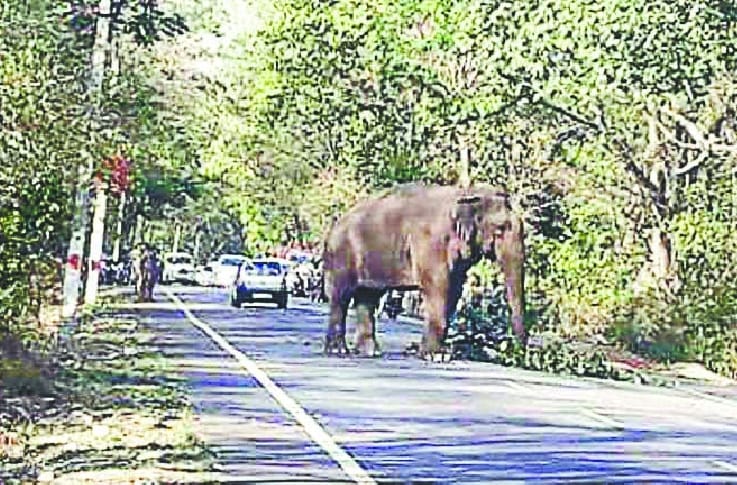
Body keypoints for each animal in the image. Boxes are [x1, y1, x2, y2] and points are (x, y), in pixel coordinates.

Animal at [322, 183, 527, 359]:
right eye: (500, 229)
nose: (517, 353)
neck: (465, 193)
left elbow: (454, 290)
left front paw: (435, 353)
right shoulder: (430, 241)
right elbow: (438, 285)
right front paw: (437, 356)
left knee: (368, 297)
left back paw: (370, 352)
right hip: (341, 253)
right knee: (341, 296)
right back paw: (338, 351)